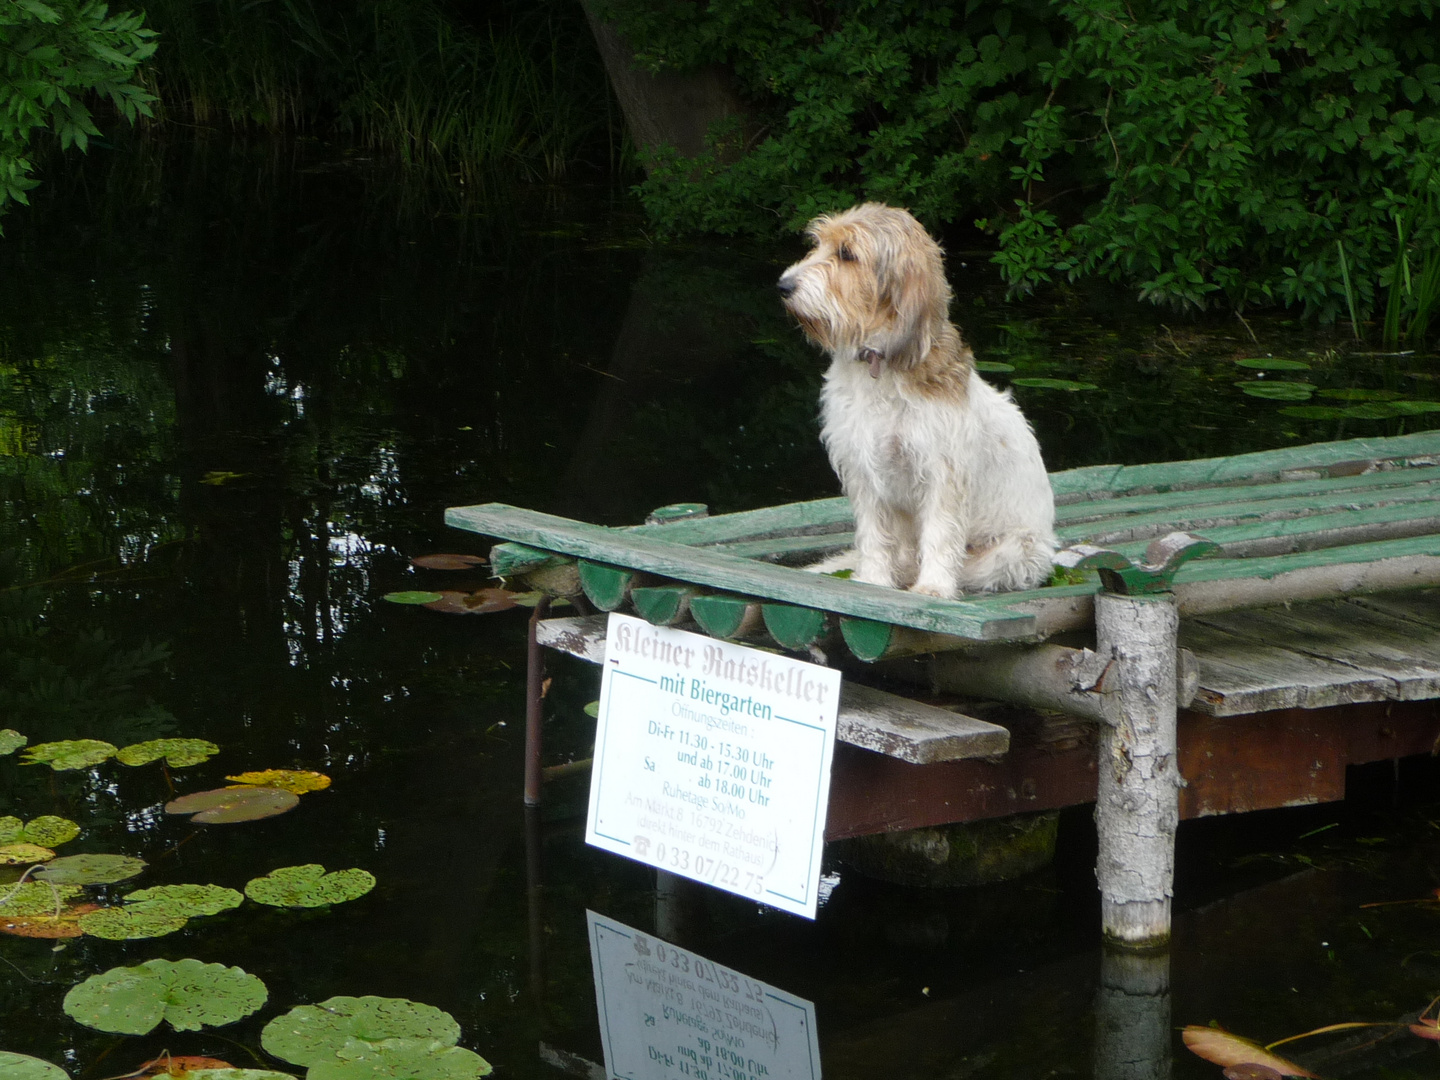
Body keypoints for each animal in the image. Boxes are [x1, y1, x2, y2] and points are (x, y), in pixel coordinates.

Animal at [783, 203, 1054, 601]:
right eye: (818, 245)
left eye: (847, 253)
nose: (783, 286)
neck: (878, 364)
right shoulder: (863, 468)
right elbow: (873, 536)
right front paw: (873, 580)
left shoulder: (941, 474)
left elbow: (940, 534)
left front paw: (934, 587)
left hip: (1010, 554)